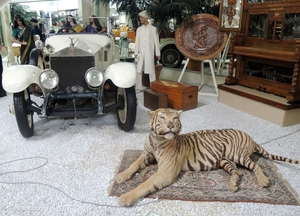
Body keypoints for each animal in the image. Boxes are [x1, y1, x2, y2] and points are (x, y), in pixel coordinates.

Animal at [114, 108, 298, 206]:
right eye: (162, 117)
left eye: (175, 118)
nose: (171, 125)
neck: (156, 141)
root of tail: (251, 138)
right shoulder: (146, 155)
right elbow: (133, 165)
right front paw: (120, 176)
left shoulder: (166, 171)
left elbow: (146, 183)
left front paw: (126, 197)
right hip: (225, 160)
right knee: (238, 172)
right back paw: (232, 185)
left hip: (238, 154)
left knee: (255, 166)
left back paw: (263, 181)